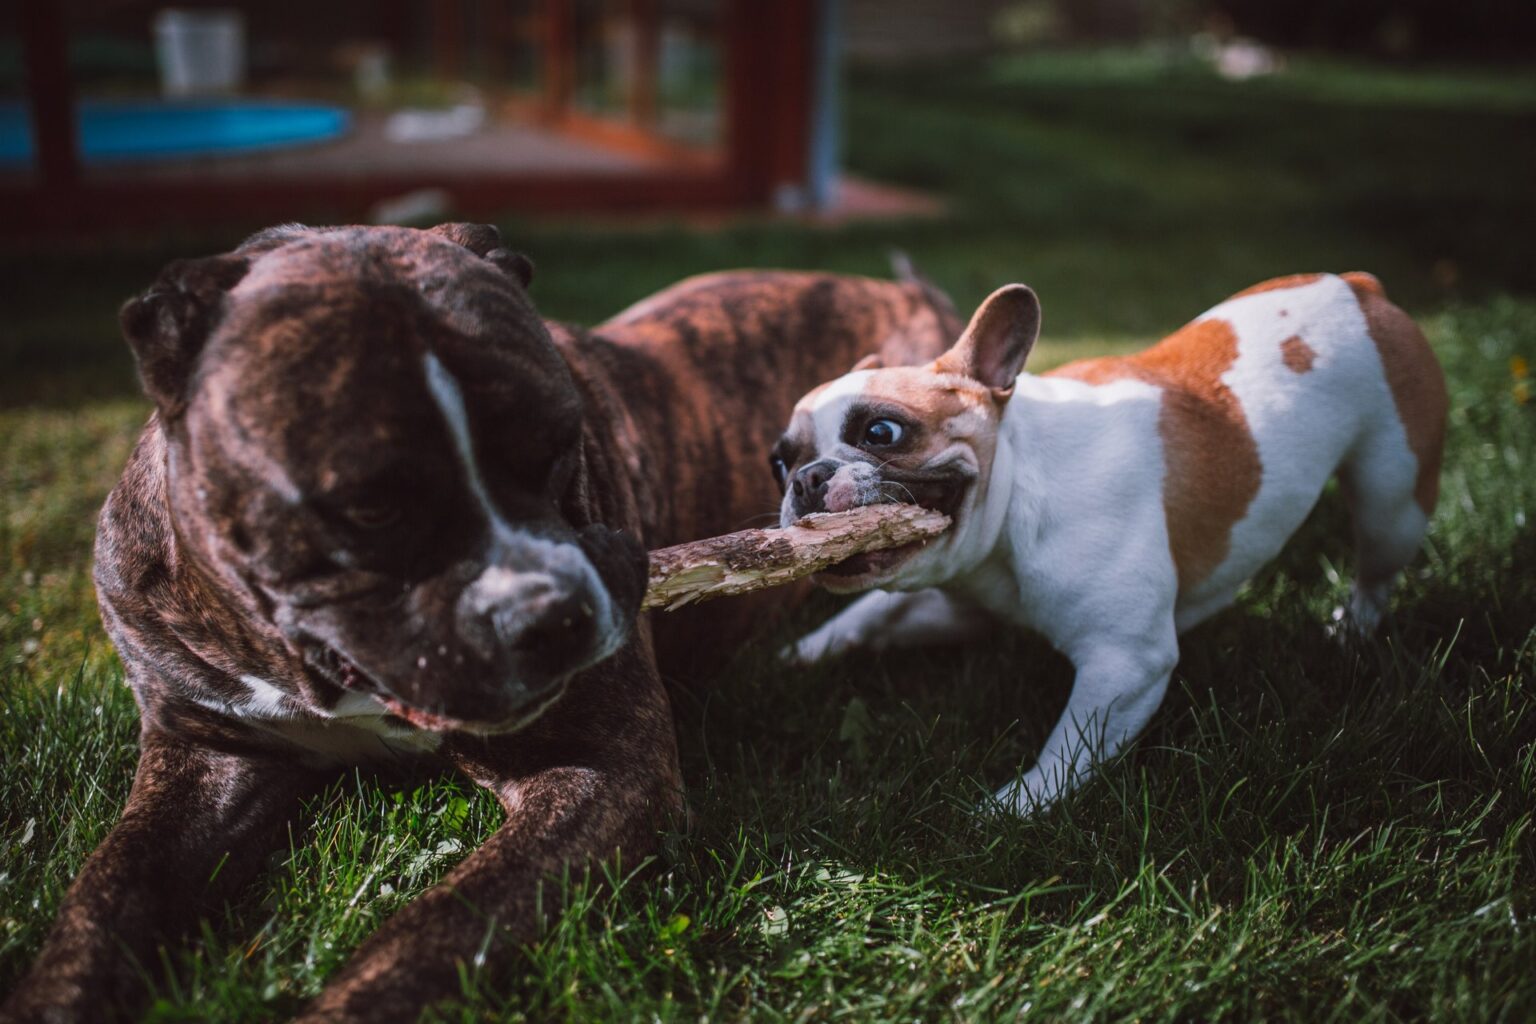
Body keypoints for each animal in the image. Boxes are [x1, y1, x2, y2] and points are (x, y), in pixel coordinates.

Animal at [3, 224, 958, 1024]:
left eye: (561, 450)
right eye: (373, 508)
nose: (554, 614)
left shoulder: (604, 769)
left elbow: (428, 933)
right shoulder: (205, 753)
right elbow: (102, 896)